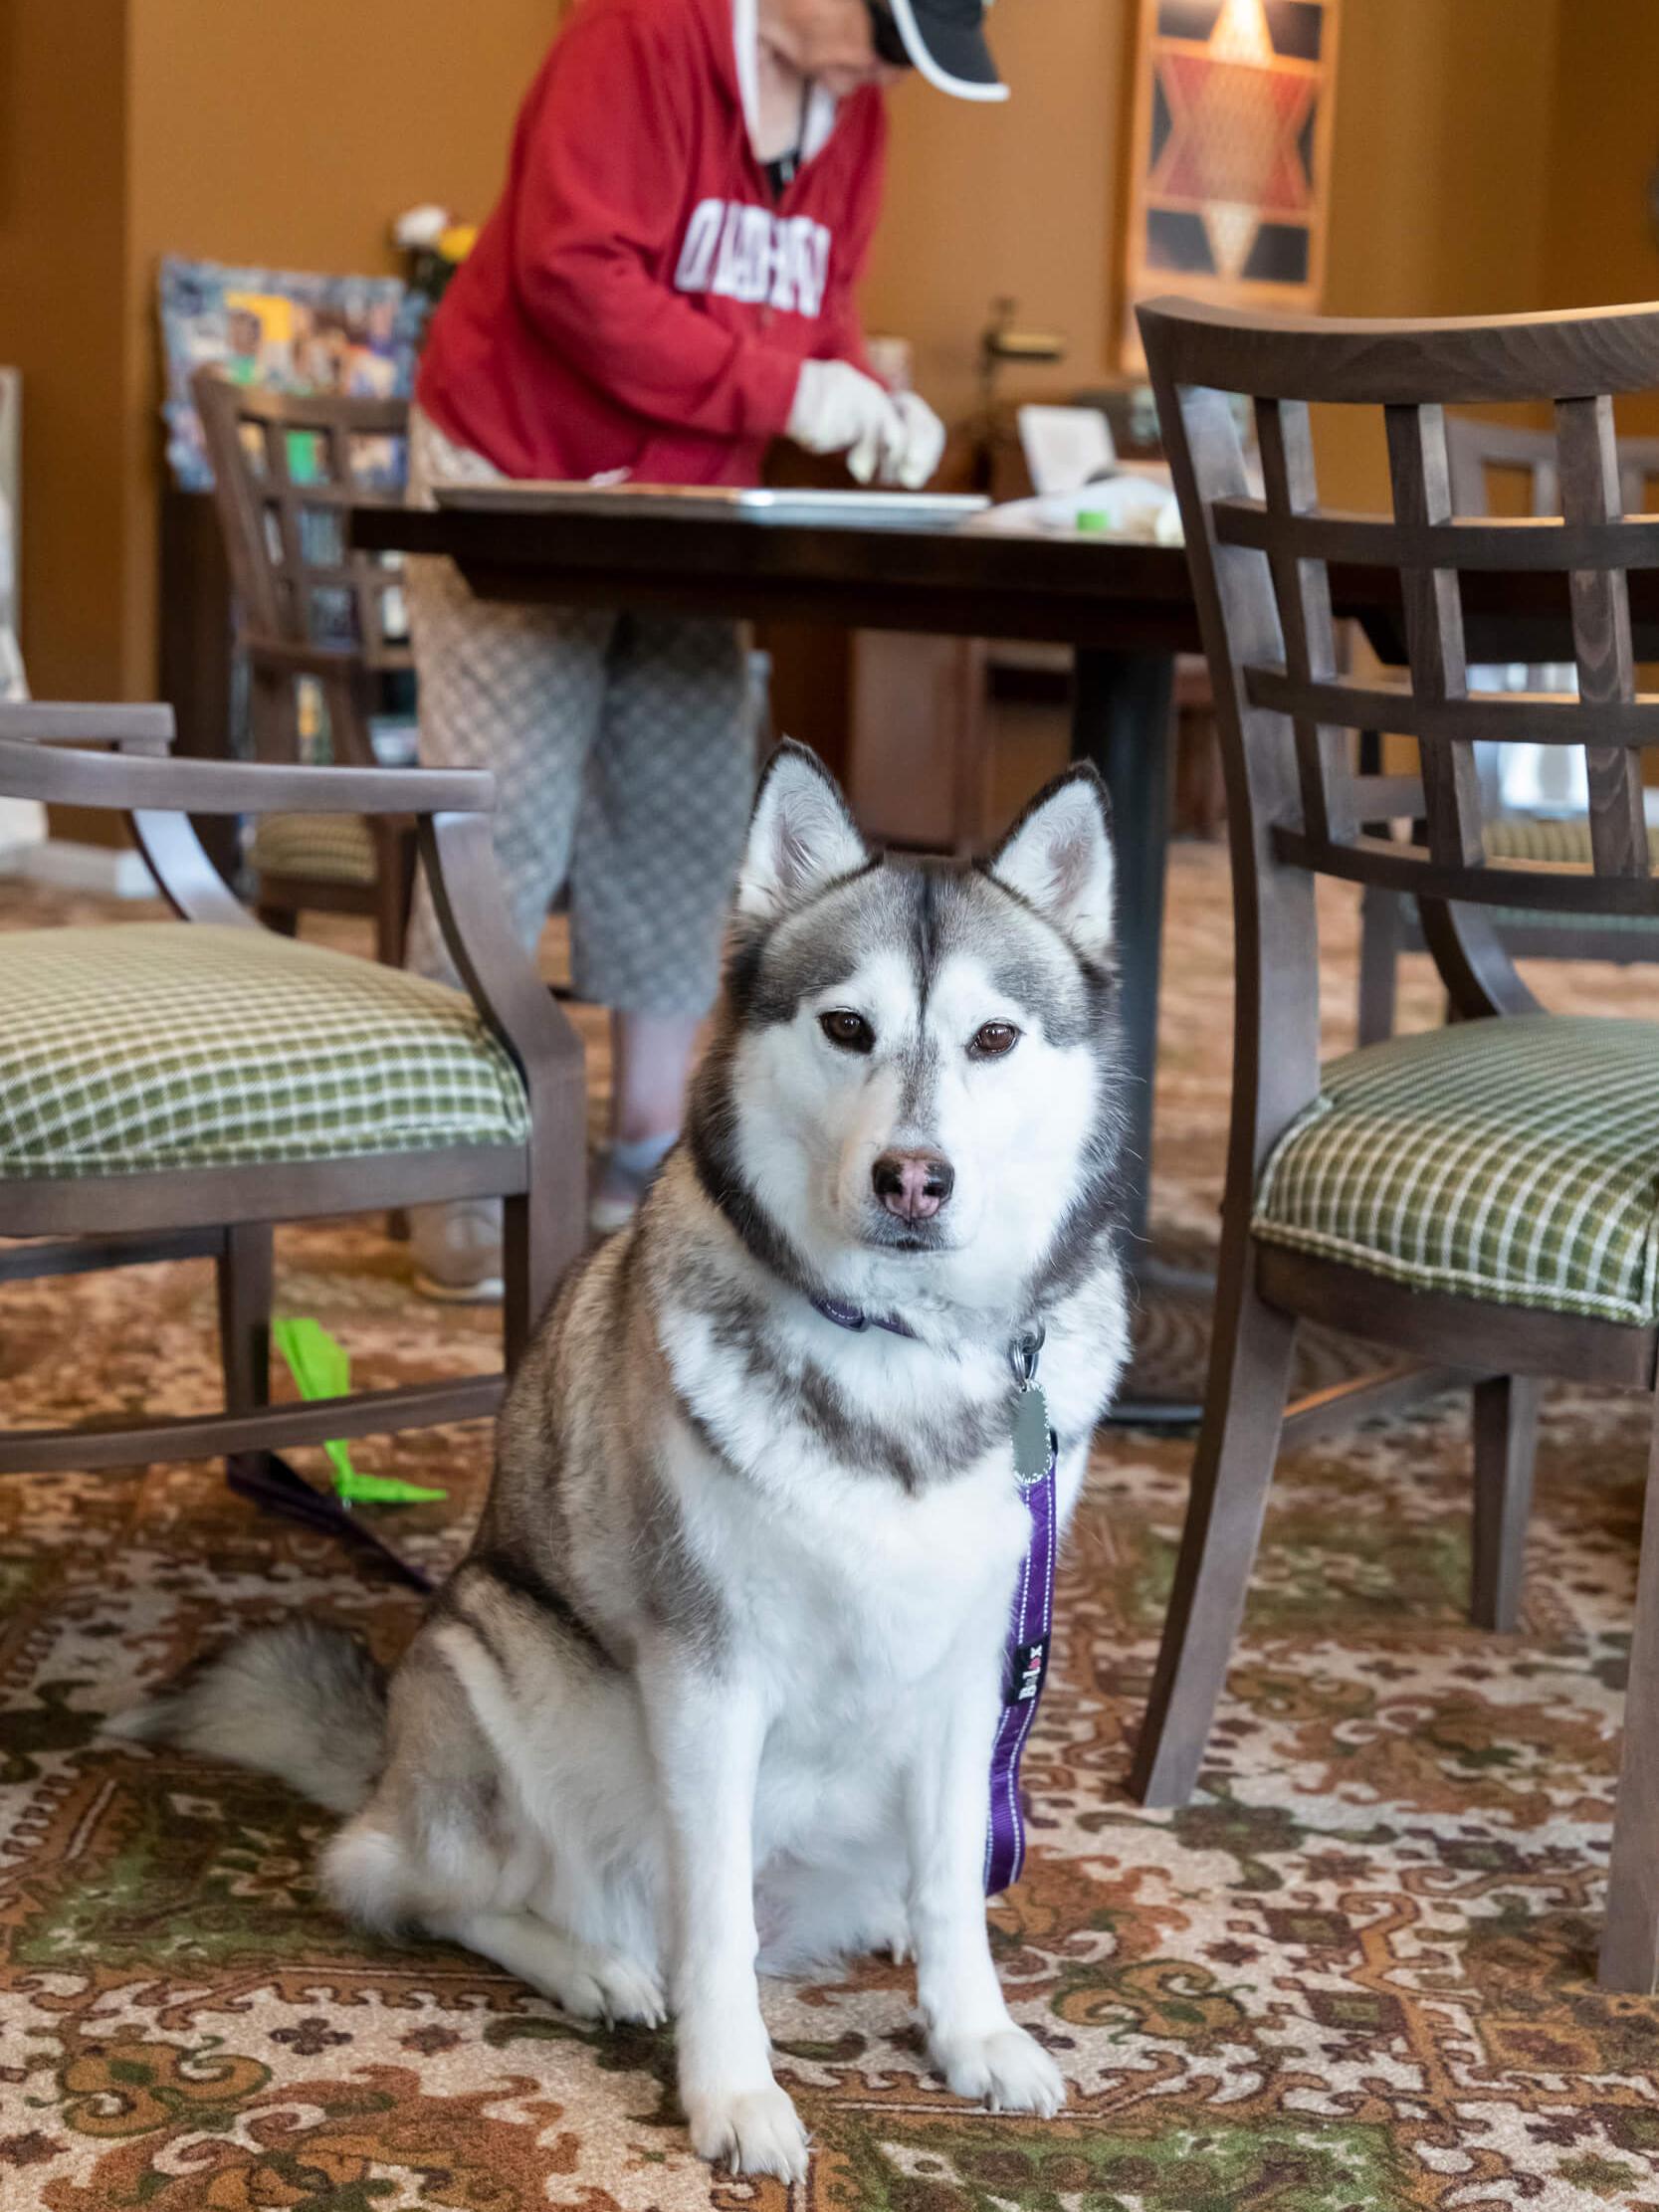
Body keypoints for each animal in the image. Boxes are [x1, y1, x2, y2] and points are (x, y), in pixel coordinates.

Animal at [113, 742, 1133, 2176]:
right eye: (847, 1029)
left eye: (993, 1037)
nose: (911, 1178)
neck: (899, 1350)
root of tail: (384, 1762)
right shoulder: (705, 1679)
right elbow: (712, 1925)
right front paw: (734, 2092)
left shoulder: (971, 1664)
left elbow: (952, 1879)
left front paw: (972, 2032)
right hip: (500, 1664)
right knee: (409, 1881)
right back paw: (593, 1966)